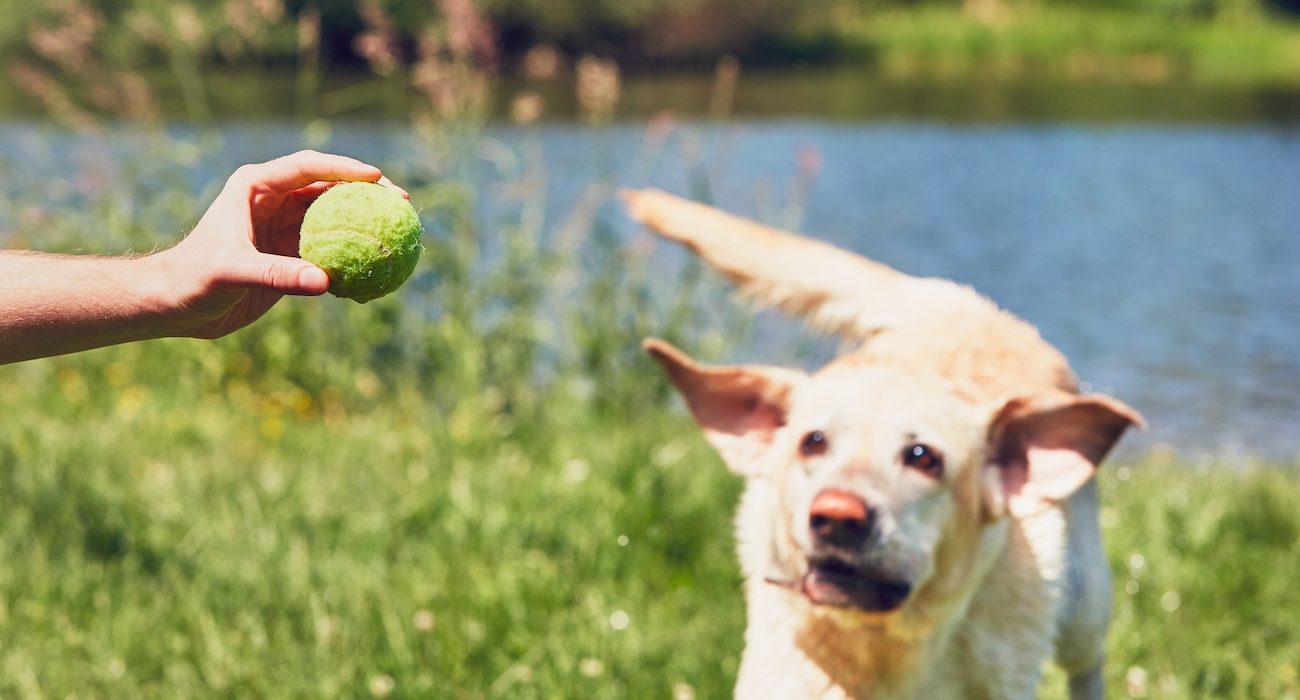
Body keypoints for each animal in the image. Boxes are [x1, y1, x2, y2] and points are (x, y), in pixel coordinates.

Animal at [624, 187, 1144, 692]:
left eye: (923, 457)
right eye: (812, 442)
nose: (836, 516)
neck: (877, 652)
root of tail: (971, 307)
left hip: (1083, 605)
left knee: (1088, 664)